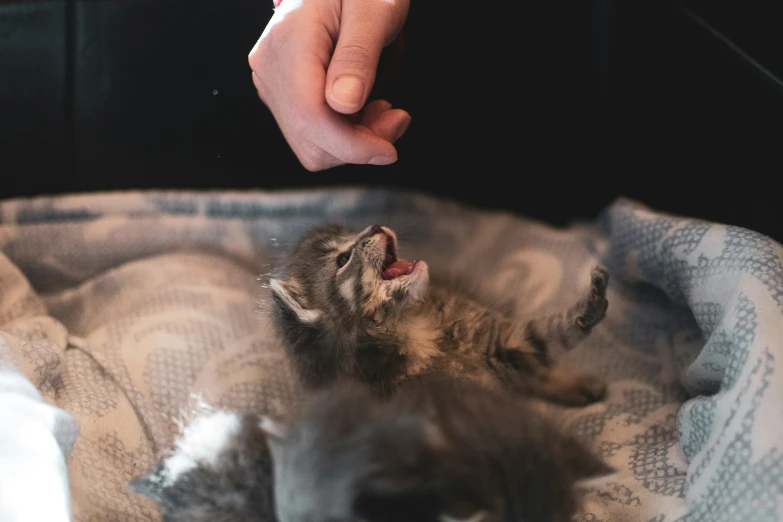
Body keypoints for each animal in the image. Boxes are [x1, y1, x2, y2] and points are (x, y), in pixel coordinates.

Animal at [272, 221, 612, 404]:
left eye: (354, 232)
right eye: (343, 258)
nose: (376, 226)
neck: (409, 325)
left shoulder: (504, 340)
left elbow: (552, 331)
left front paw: (593, 301)